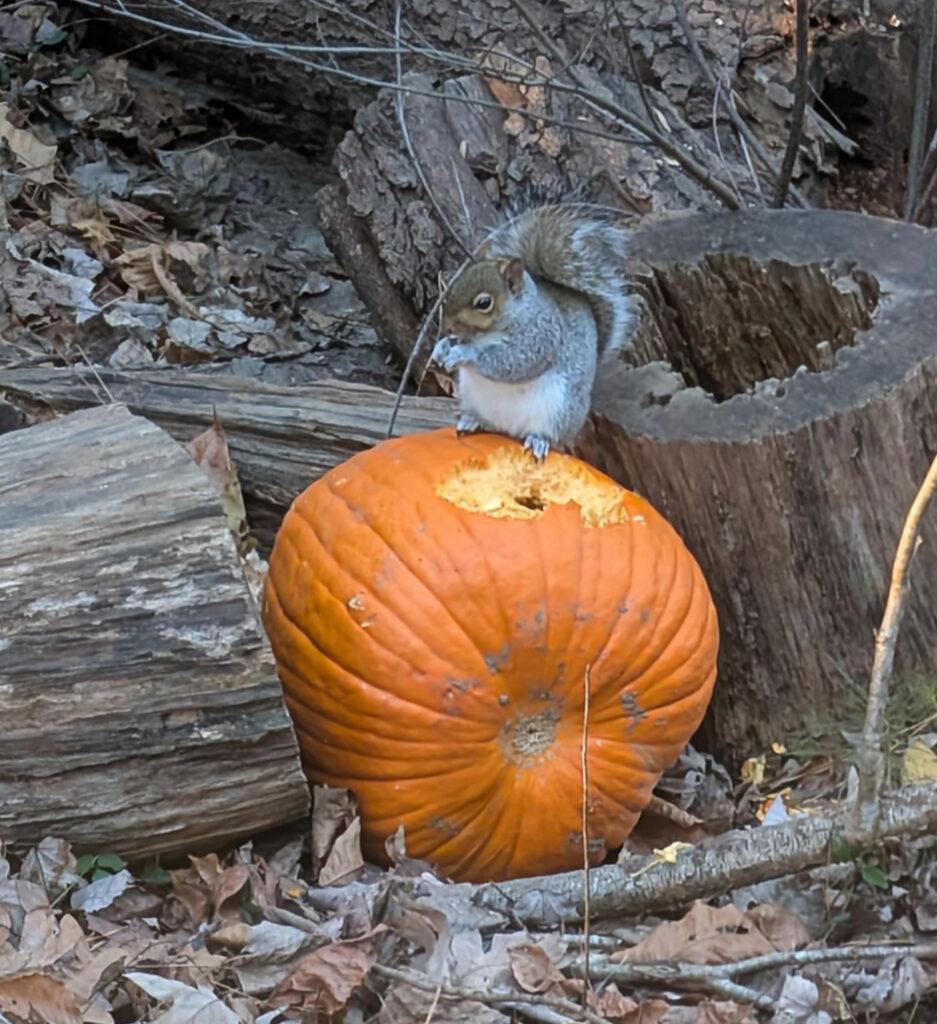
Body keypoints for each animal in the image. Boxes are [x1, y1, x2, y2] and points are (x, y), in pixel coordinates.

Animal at [430, 204, 634, 459]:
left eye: (484, 303)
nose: (446, 325)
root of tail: (511, 431)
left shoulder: (542, 336)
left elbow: (511, 361)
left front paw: (463, 354)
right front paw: (441, 348)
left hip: (558, 410)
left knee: (551, 437)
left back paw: (538, 441)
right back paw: (473, 421)